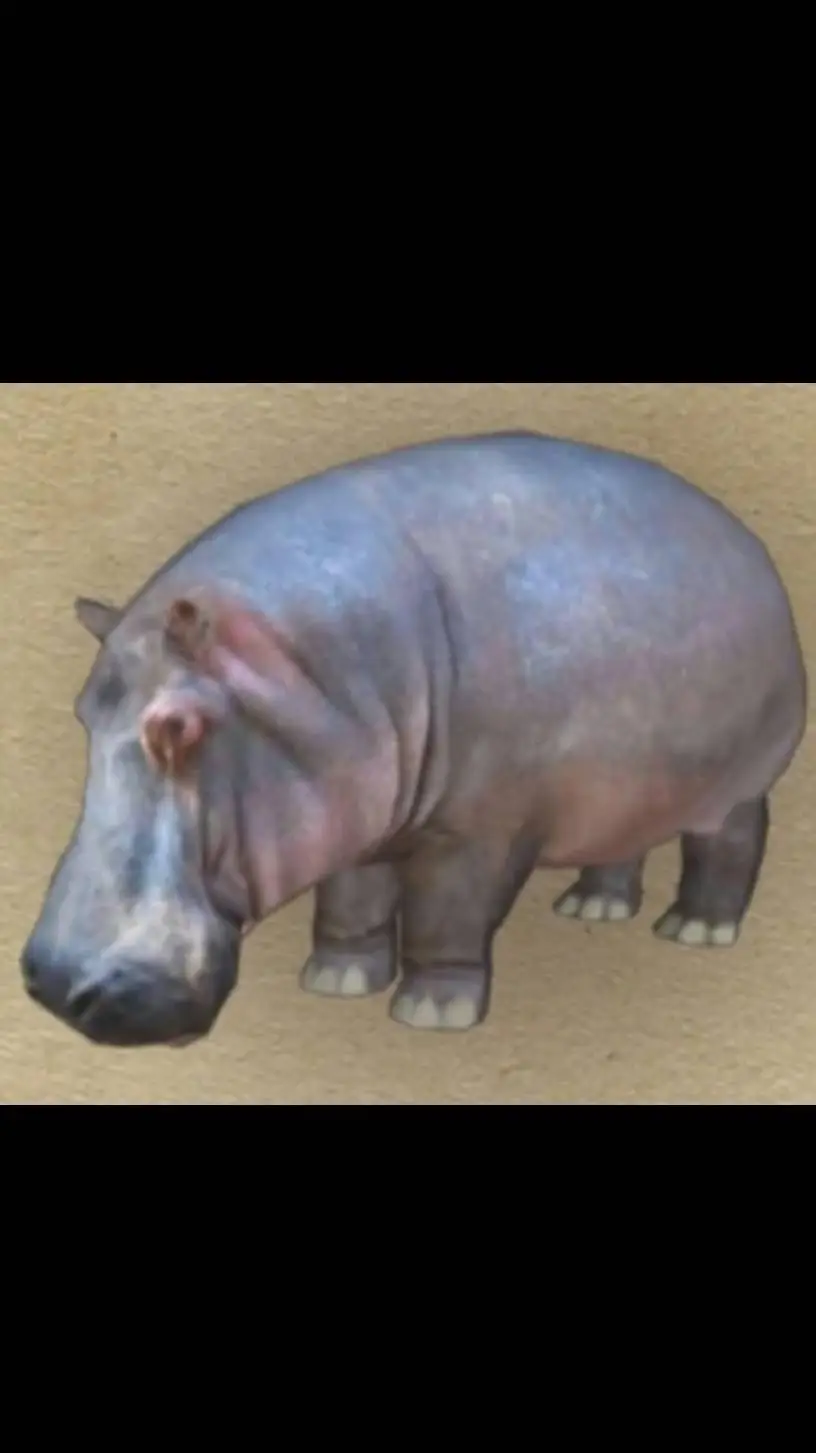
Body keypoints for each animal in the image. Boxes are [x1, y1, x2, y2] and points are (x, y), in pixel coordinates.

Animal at [21, 432, 807, 1046]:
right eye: (82, 711)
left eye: (179, 727)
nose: (56, 983)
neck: (295, 670)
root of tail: (742, 535)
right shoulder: (354, 816)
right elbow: (352, 902)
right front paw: (336, 981)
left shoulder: (474, 832)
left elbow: (445, 916)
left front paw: (432, 1013)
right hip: (627, 788)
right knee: (621, 844)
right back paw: (594, 909)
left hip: (741, 781)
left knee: (733, 843)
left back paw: (696, 930)